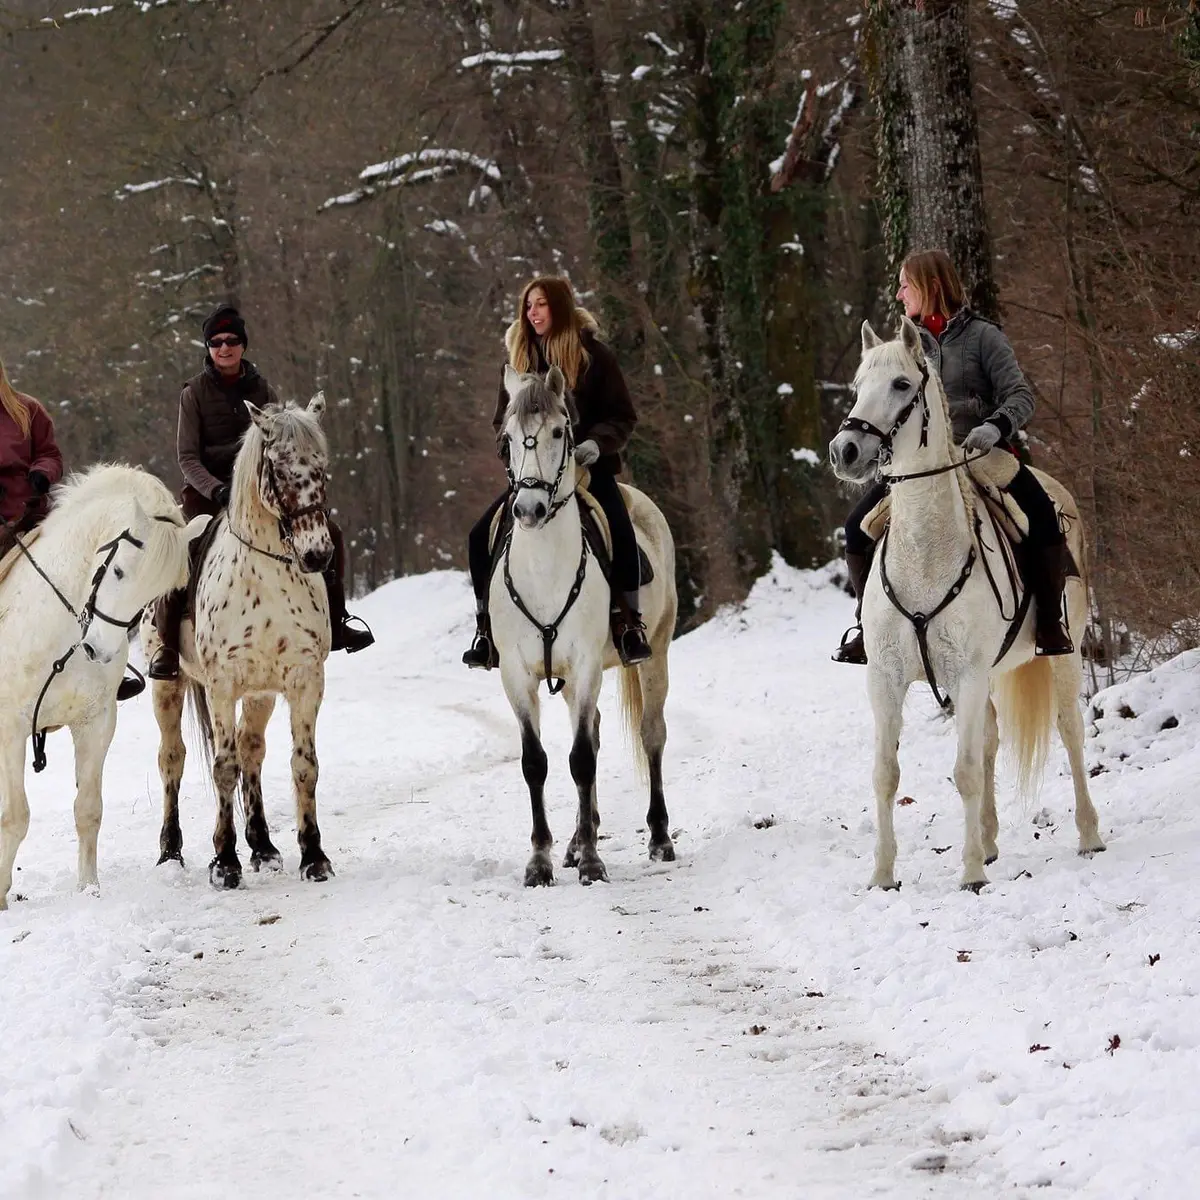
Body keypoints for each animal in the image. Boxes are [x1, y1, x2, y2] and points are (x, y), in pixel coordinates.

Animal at [0, 465, 206, 909]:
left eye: (155, 593)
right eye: (118, 571)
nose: (97, 650)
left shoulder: (95, 723)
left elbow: (88, 809)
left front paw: (88, 889)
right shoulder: (10, 727)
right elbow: (15, 816)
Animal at [140, 393, 337, 890]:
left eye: (321, 468)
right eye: (280, 470)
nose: (317, 554)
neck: (267, 575)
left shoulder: (304, 678)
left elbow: (303, 765)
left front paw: (313, 857)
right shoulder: (223, 685)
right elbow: (223, 768)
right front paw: (224, 861)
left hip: (261, 692)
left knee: (253, 751)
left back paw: (263, 846)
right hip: (167, 686)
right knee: (172, 758)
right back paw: (170, 851)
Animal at [490, 365, 677, 886]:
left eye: (561, 431)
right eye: (506, 438)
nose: (529, 510)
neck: (545, 572)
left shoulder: (588, 663)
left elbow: (581, 759)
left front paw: (593, 861)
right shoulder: (516, 675)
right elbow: (537, 762)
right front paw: (541, 861)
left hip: (655, 652)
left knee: (651, 734)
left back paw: (659, 837)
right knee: (590, 731)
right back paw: (576, 839)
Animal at [827, 317, 1105, 891]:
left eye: (902, 385)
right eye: (858, 386)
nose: (845, 451)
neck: (925, 552)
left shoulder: (969, 675)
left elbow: (966, 771)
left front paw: (971, 872)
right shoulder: (886, 678)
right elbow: (886, 773)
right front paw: (883, 875)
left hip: (1061, 655)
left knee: (1069, 731)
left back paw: (1088, 835)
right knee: (993, 740)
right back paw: (992, 840)